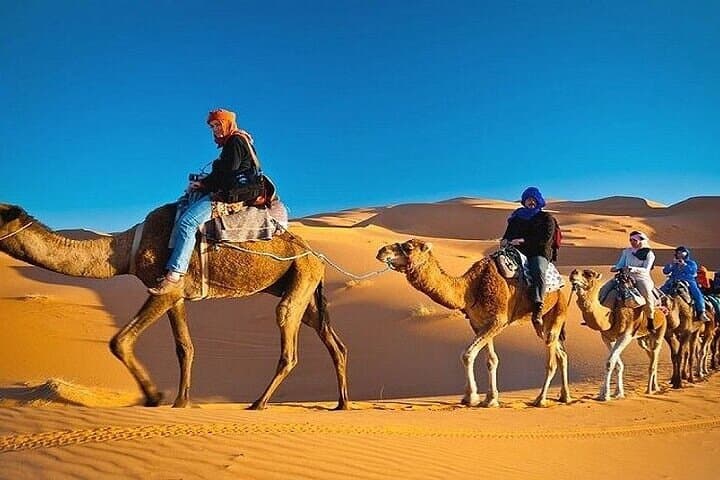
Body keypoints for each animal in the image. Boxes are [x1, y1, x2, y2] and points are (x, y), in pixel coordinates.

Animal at [0, 203, 349, 409]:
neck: (124, 250)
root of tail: (316, 255)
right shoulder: (177, 295)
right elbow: (185, 347)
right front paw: (181, 401)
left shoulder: (164, 288)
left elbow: (119, 340)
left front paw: (154, 396)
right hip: (305, 288)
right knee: (333, 341)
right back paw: (341, 404)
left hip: (300, 278)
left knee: (288, 338)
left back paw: (258, 403)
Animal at [376, 239, 571, 407]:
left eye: (408, 247)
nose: (381, 251)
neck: (470, 288)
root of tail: (562, 286)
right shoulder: (480, 323)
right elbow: (491, 360)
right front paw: (490, 399)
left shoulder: (498, 320)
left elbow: (467, 355)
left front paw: (471, 397)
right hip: (541, 323)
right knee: (561, 353)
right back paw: (565, 396)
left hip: (557, 312)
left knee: (551, 360)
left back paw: (541, 399)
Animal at [568, 269, 667, 400]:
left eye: (589, 274)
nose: (573, 273)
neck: (610, 314)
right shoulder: (607, 337)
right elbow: (617, 364)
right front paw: (617, 393)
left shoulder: (626, 335)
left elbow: (610, 362)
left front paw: (605, 395)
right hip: (642, 338)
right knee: (651, 354)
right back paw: (655, 386)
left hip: (660, 329)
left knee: (655, 354)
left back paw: (649, 390)